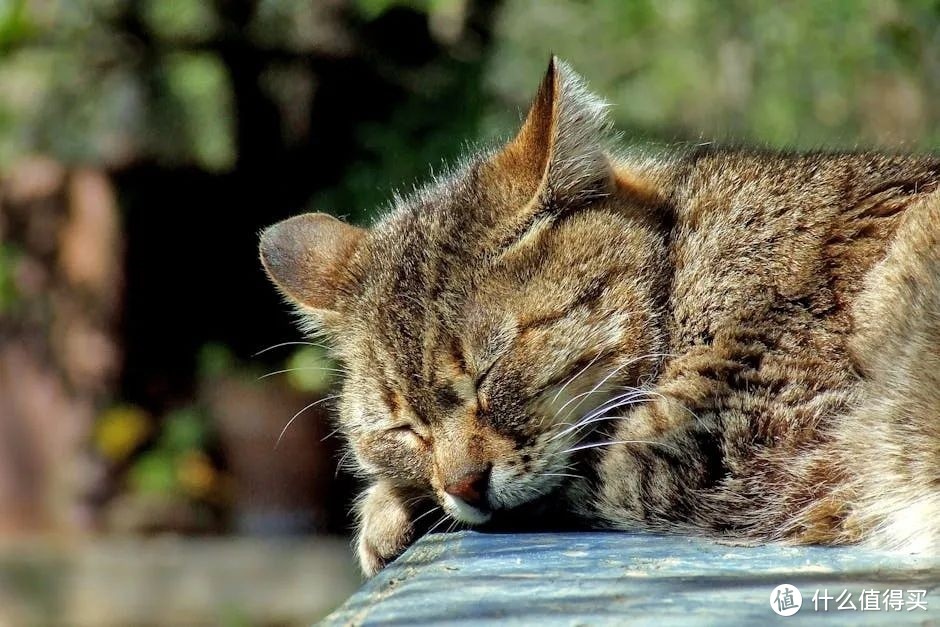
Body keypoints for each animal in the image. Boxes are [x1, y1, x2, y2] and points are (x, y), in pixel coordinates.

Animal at [258, 56, 940, 576]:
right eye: (403, 429)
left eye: (489, 373)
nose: (464, 486)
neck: (686, 264)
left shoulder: (723, 442)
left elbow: (569, 474)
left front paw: (385, 509)